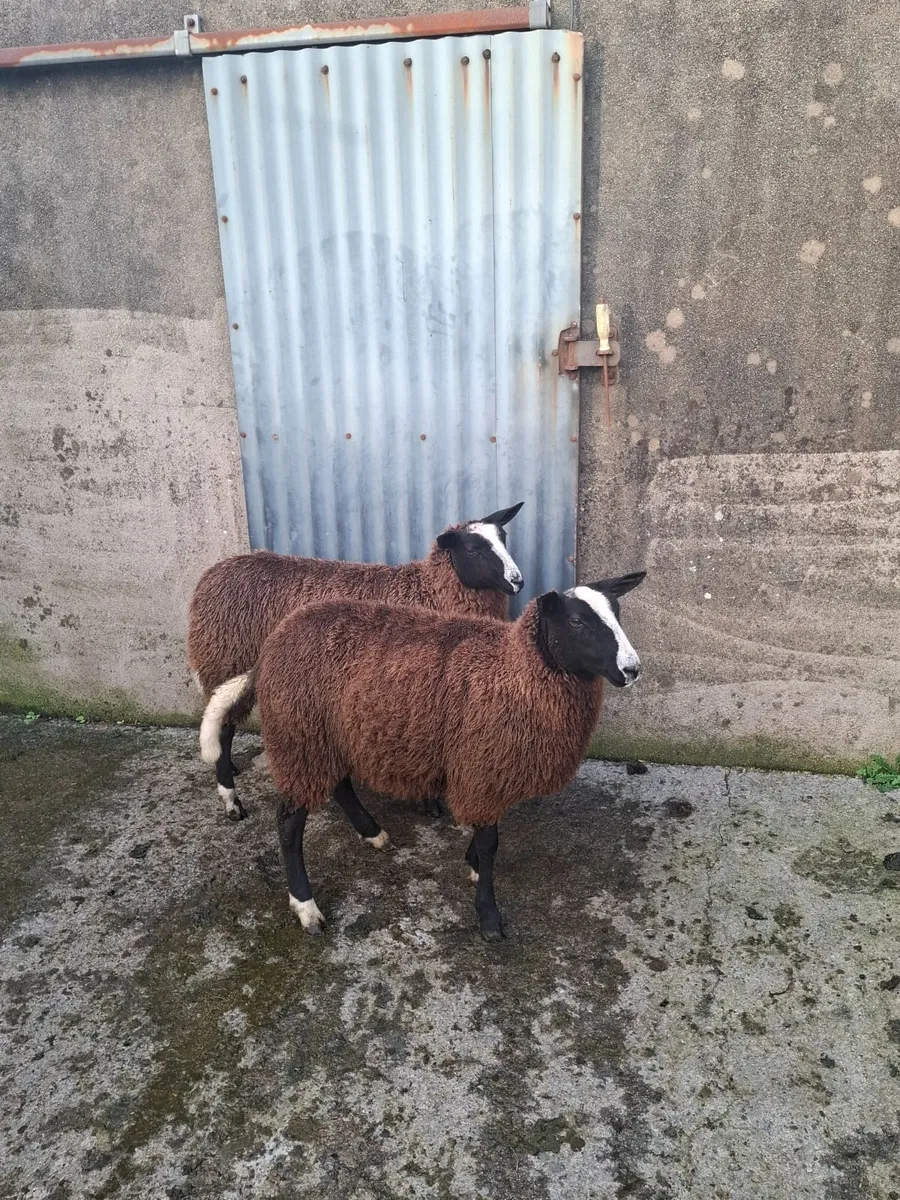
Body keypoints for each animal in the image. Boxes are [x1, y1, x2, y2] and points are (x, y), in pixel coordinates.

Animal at [189, 503, 524, 820]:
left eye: (504, 538)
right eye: (472, 549)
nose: (517, 581)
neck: (428, 588)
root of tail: (212, 574)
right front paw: (429, 803)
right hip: (226, 661)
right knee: (224, 728)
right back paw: (231, 800)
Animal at [201, 571, 645, 941]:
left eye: (617, 612)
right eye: (577, 622)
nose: (632, 669)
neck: (515, 670)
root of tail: (271, 646)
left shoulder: (488, 767)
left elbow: (486, 835)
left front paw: (472, 865)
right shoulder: (482, 766)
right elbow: (491, 842)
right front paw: (488, 917)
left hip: (333, 733)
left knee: (340, 784)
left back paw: (372, 832)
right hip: (301, 735)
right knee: (289, 824)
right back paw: (307, 908)